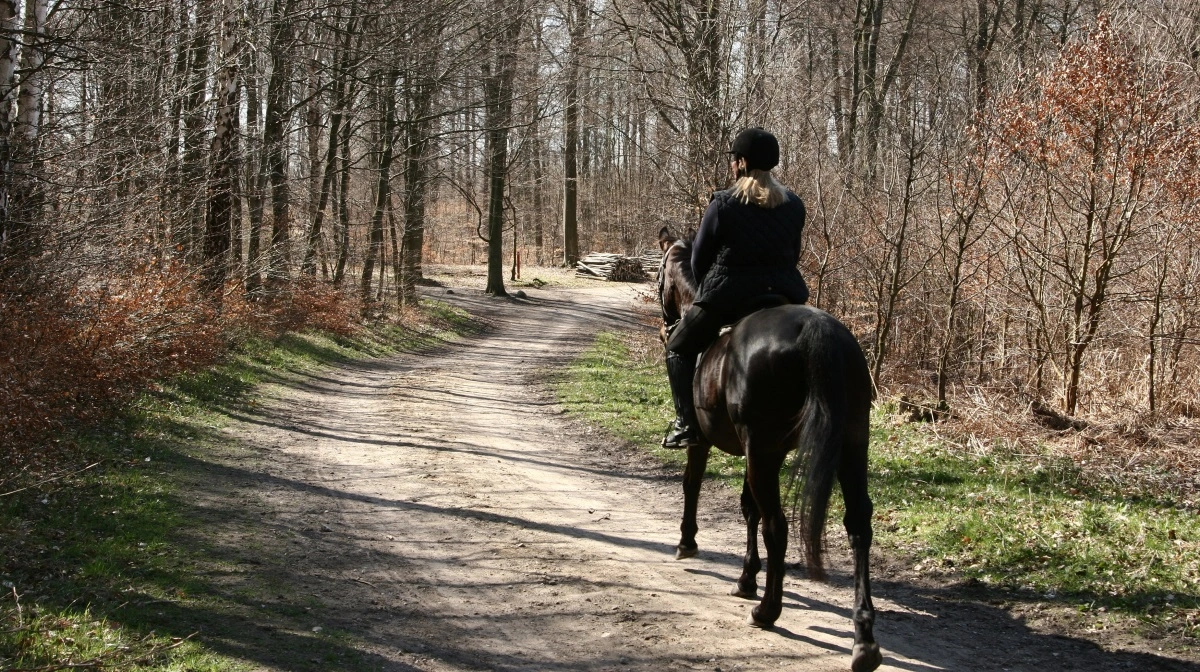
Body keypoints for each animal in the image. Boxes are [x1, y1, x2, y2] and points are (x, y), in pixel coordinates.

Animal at [657, 226, 883, 672]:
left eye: (659, 275)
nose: (667, 323)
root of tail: (816, 330)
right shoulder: (759, 452)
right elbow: (749, 509)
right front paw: (747, 578)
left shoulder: (717, 444)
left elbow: (695, 487)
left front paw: (687, 543)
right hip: (850, 443)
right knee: (857, 526)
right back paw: (863, 641)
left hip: (765, 449)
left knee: (777, 525)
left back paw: (767, 611)